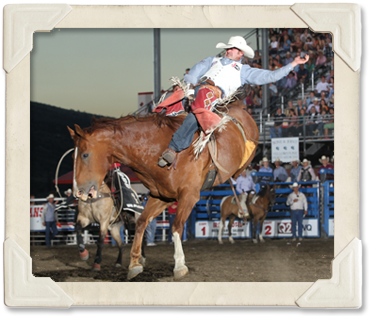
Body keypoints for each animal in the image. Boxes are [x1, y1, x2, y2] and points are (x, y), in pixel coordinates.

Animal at [69, 95, 258, 280]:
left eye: (85, 154)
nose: (78, 191)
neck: (158, 150)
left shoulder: (189, 196)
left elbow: (176, 226)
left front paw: (180, 265)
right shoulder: (162, 196)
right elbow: (141, 223)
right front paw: (135, 263)